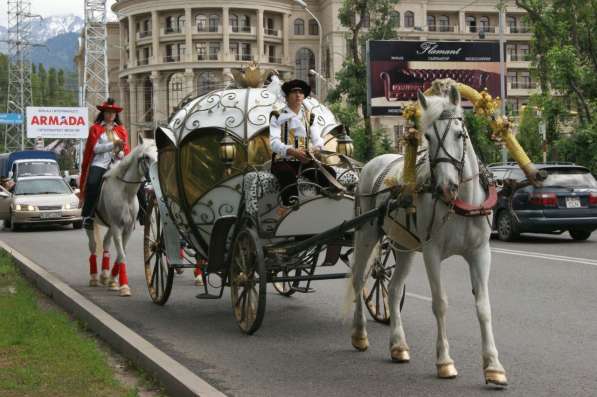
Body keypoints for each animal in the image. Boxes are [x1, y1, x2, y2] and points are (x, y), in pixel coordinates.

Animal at [86, 138, 157, 296]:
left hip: (110, 226)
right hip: (93, 223)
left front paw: (113, 280)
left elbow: (121, 254)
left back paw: (104, 275)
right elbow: (122, 255)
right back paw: (93, 278)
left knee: (106, 243)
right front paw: (124, 286)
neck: (125, 192)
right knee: (93, 246)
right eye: (146, 157)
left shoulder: (127, 228)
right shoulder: (117, 227)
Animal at [350, 85, 508, 386]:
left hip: (404, 247)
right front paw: (445, 361)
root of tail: (372, 163)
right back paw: (359, 335)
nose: (445, 187)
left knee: (393, 289)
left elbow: (484, 306)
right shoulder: (432, 252)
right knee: (358, 280)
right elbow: (440, 303)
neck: (460, 204)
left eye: (460, 134)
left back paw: (398, 345)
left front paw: (494, 366)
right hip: (366, 235)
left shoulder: (480, 253)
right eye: (428, 137)